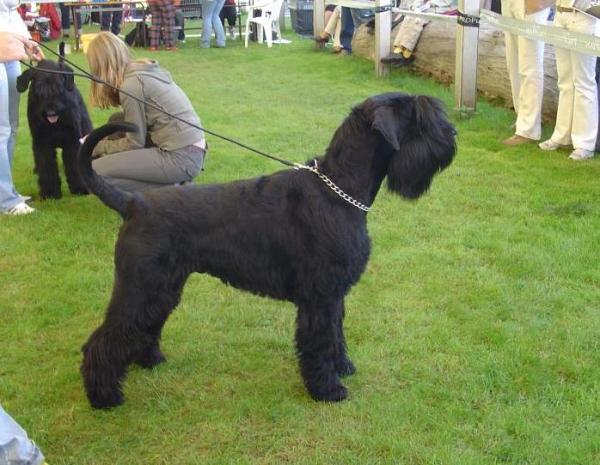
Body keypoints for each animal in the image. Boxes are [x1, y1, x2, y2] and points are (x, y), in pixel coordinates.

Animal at [17, 56, 91, 198]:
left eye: (59, 87)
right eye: (37, 90)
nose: (51, 112)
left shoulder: (72, 140)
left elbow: (74, 164)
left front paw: (80, 188)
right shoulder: (42, 142)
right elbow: (46, 165)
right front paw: (50, 193)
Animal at [77, 92, 458, 408]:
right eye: (421, 117)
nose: (452, 135)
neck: (339, 189)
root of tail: (132, 204)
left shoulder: (334, 295)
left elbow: (336, 333)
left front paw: (343, 367)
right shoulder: (319, 297)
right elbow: (320, 340)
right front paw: (328, 389)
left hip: (162, 289)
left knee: (143, 325)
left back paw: (149, 360)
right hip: (140, 286)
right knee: (104, 338)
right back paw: (104, 396)